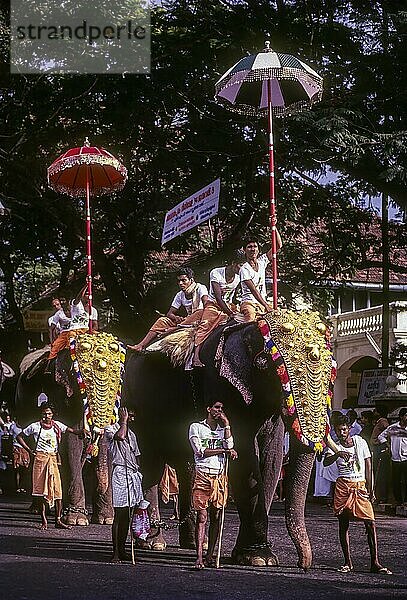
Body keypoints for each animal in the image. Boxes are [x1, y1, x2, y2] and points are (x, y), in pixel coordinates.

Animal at [122, 310, 336, 568]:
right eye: (265, 364)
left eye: (331, 374)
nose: (302, 564)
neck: (247, 329)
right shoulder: (221, 384)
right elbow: (243, 455)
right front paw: (259, 559)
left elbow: (271, 459)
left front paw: (251, 557)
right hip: (136, 403)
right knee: (150, 462)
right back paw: (151, 543)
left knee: (187, 465)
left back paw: (196, 544)